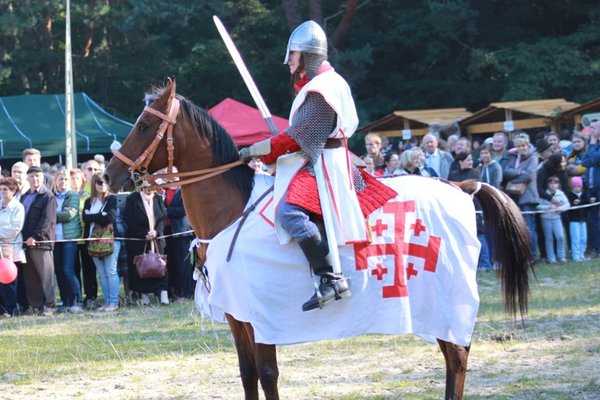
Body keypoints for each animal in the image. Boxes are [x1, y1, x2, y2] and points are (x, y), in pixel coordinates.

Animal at [105, 79, 532, 400]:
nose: (110, 176)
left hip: (446, 301)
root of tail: (462, 186)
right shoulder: (237, 317)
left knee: (457, 356)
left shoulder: (262, 317)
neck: (231, 210)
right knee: (452, 356)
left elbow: (267, 374)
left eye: (144, 126)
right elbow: (247, 374)